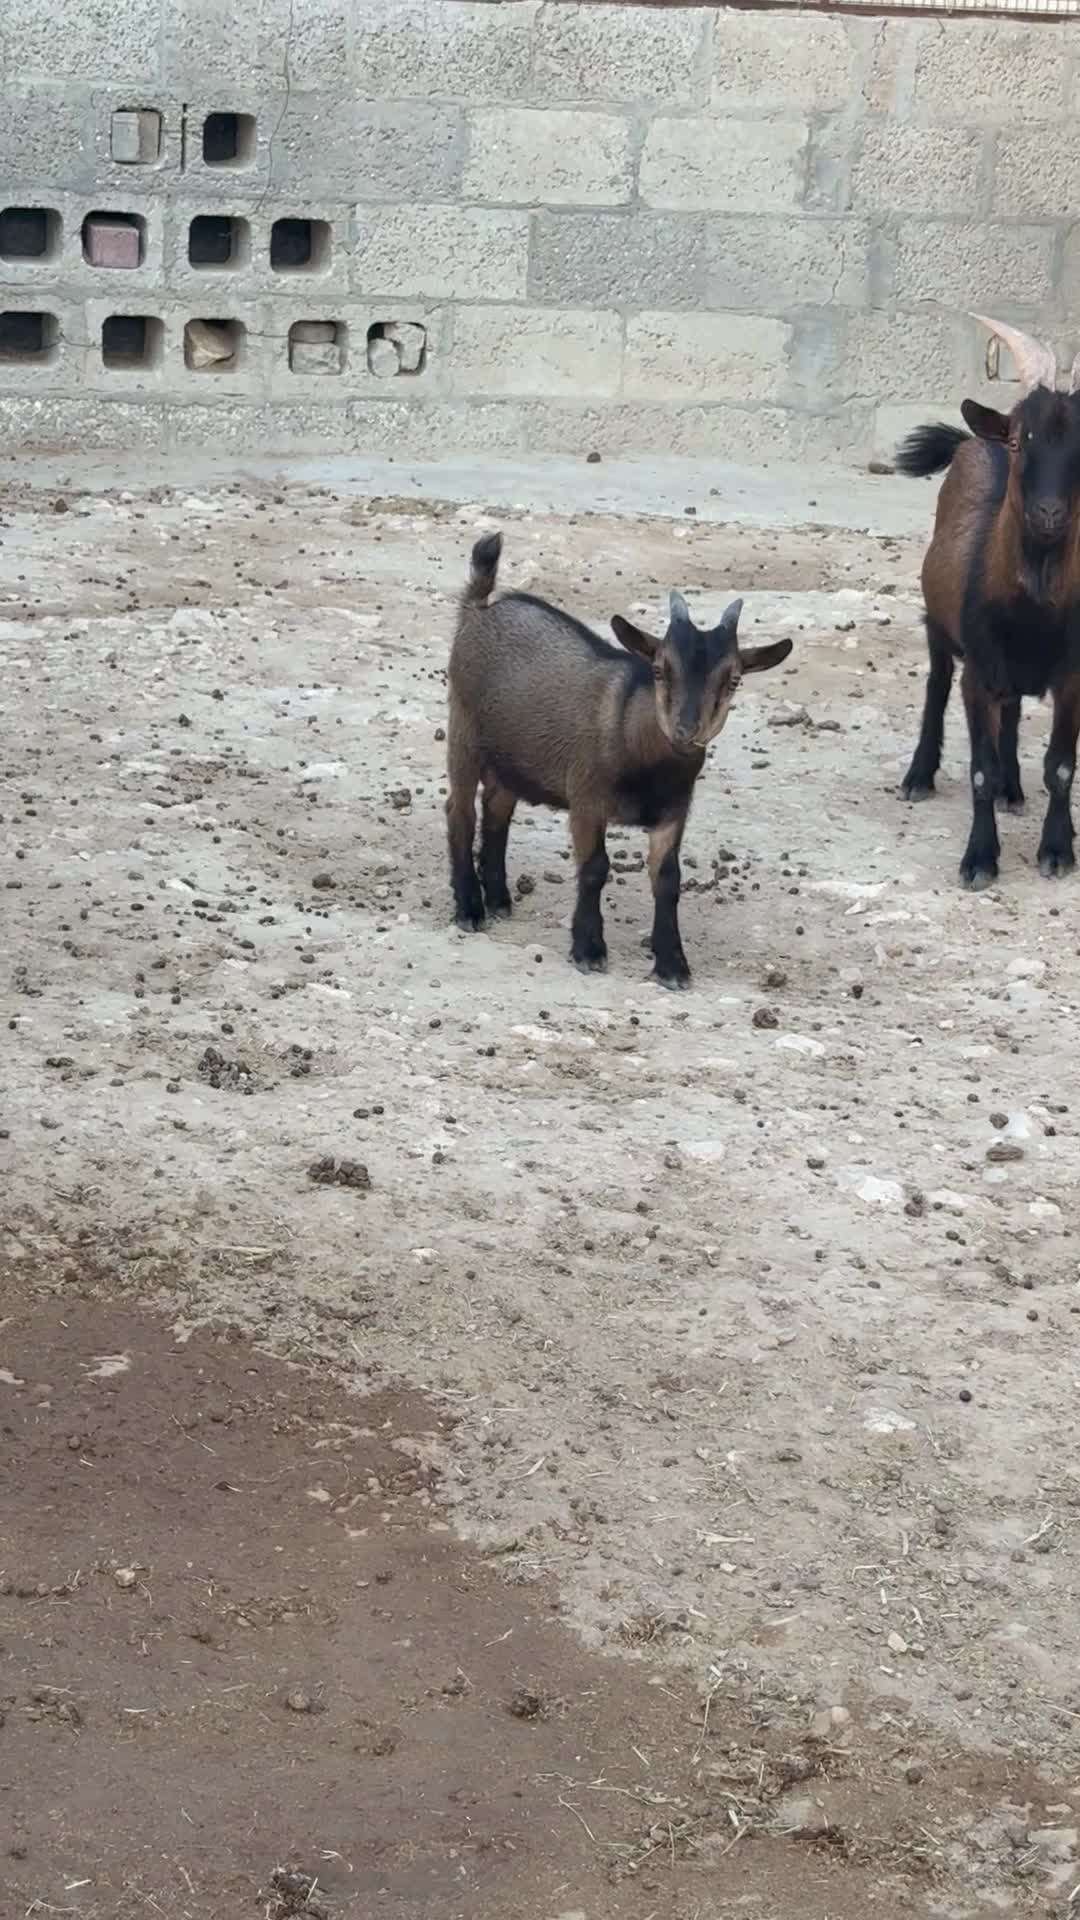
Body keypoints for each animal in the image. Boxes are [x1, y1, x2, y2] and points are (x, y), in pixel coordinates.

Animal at [445, 531, 791, 987]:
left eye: (733, 680)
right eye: (660, 669)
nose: (686, 730)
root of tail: (479, 608)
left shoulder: (672, 813)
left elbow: (668, 879)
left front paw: (672, 964)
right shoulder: (587, 799)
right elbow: (595, 867)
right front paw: (589, 949)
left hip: (513, 760)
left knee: (497, 810)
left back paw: (499, 898)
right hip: (464, 732)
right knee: (460, 811)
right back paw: (470, 908)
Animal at [897, 314, 1080, 890]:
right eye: (1020, 442)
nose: (1049, 514)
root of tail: (974, 440)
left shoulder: (1073, 678)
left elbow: (1060, 766)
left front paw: (1057, 849)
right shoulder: (977, 674)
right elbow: (978, 770)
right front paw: (979, 859)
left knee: (1014, 711)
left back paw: (1012, 788)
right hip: (938, 626)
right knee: (935, 685)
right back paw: (919, 775)